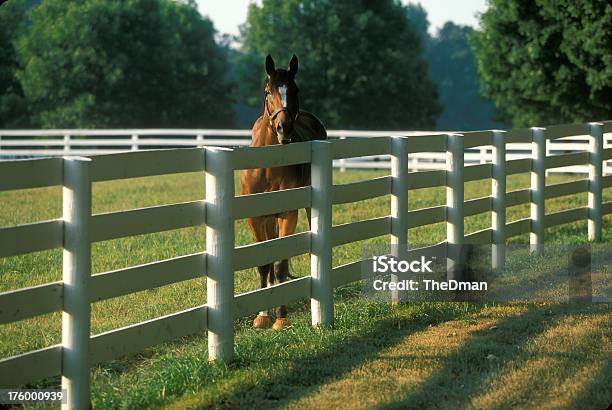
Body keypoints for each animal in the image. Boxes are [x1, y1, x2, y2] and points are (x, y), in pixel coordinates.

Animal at [239, 54, 328, 330]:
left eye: (295, 89)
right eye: (268, 91)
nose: (283, 127)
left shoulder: (288, 213)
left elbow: (279, 264)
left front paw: (281, 318)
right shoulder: (255, 218)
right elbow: (264, 263)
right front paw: (261, 316)